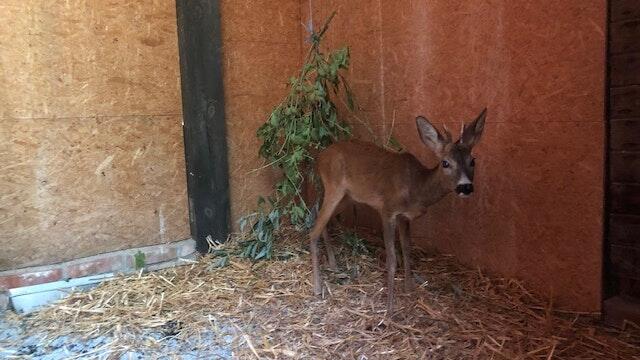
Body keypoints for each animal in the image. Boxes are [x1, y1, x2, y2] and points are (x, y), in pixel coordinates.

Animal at [308, 109, 484, 312]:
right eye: (445, 163)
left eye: (473, 161)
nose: (466, 187)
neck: (416, 188)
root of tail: (319, 157)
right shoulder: (387, 210)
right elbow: (392, 258)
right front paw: (390, 308)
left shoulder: (404, 218)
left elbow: (407, 249)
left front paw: (409, 288)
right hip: (334, 187)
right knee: (313, 231)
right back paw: (317, 287)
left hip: (348, 196)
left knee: (323, 221)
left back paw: (333, 264)